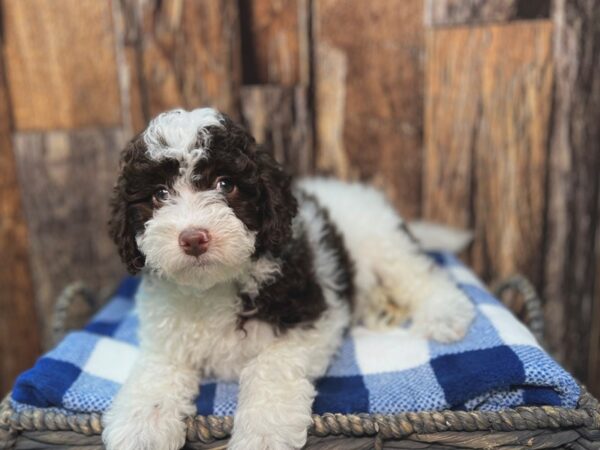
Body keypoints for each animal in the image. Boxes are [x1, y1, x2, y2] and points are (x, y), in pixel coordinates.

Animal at [103, 109, 476, 450]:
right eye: (159, 194)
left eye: (225, 184)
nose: (193, 239)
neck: (214, 286)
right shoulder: (166, 338)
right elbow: (155, 375)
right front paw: (141, 427)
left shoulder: (310, 320)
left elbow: (269, 368)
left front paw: (263, 435)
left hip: (383, 243)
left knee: (420, 274)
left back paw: (446, 314)